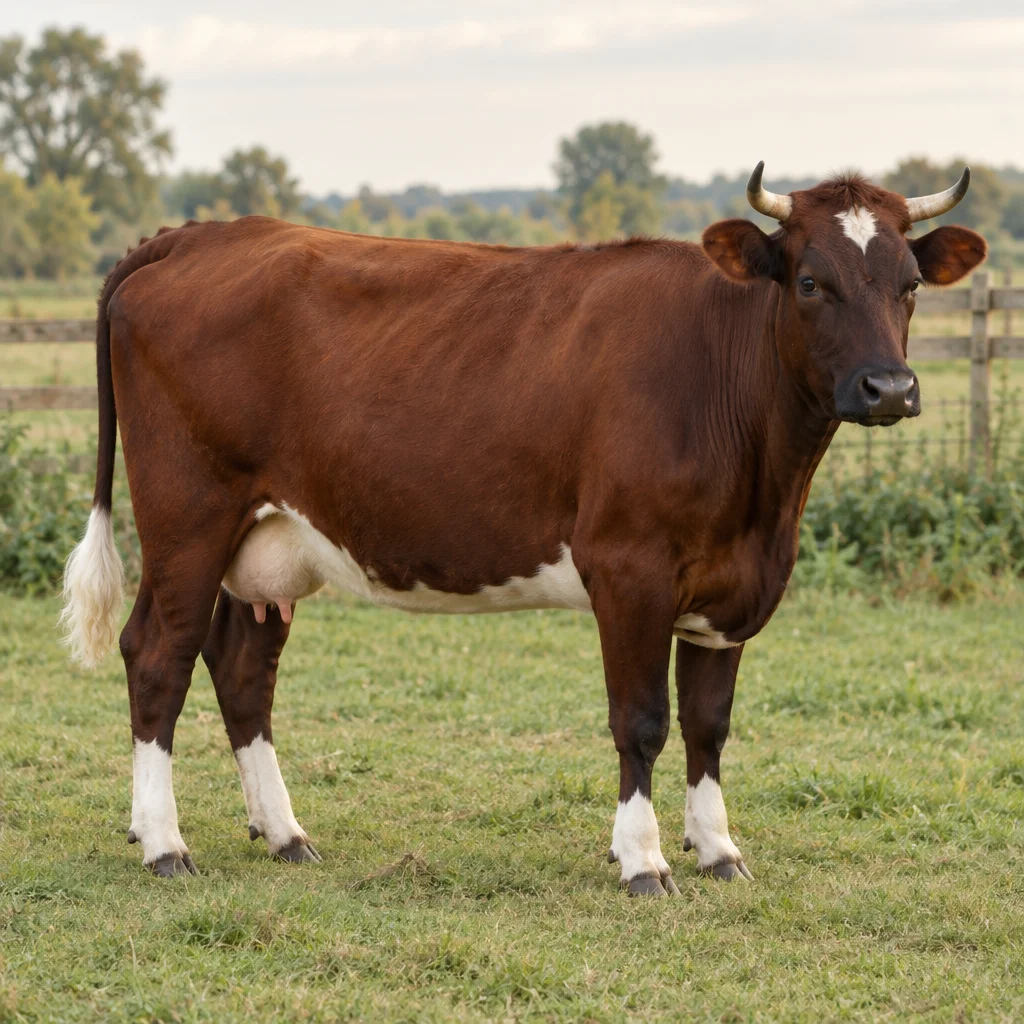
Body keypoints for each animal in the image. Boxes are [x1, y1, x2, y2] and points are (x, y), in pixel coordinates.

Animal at [61, 165, 985, 892]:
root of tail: (197, 235)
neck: (763, 492)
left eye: (908, 283)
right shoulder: (629, 569)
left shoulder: (731, 589)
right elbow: (642, 719)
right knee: (158, 656)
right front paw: (643, 859)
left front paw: (719, 849)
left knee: (242, 666)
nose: (890, 387)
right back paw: (164, 844)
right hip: (188, 518)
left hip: (267, 541)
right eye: (810, 282)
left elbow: (709, 723)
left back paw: (284, 832)